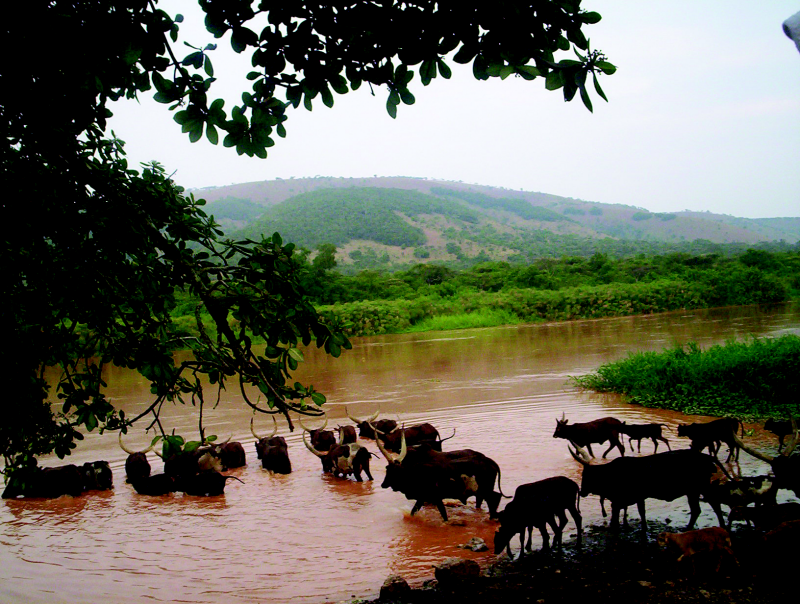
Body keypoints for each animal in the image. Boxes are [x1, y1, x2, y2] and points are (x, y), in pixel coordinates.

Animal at [564, 444, 728, 532]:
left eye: (586, 476)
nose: (582, 492)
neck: (610, 474)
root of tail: (707, 457)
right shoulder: (638, 498)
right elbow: (642, 515)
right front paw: (644, 529)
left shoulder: (618, 502)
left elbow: (615, 522)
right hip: (693, 491)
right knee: (698, 509)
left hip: (700, 487)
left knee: (712, 505)